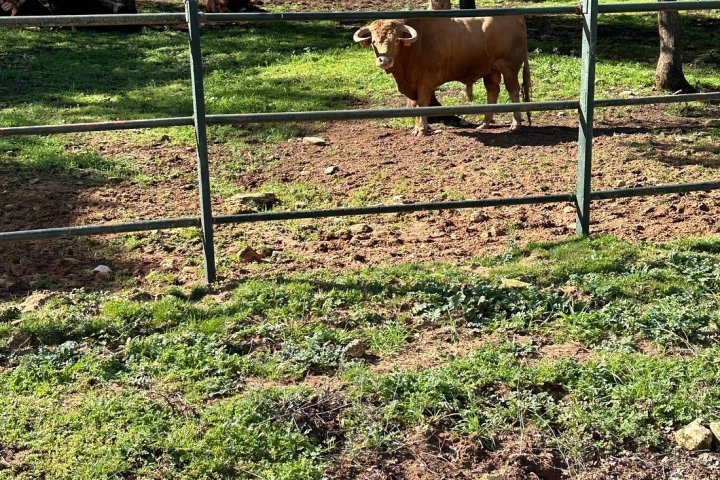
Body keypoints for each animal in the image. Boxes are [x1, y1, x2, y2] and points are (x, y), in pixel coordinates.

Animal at [353, 16, 531, 136]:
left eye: (396, 40)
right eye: (374, 41)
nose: (384, 60)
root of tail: (516, 17)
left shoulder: (425, 82)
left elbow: (423, 103)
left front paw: (422, 129)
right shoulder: (412, 85)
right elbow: (414, 104)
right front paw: (417, 127)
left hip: (509, 68)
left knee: (513, 91)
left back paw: (516, 123)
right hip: (491, 70)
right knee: (493, 91)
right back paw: (484, 124)